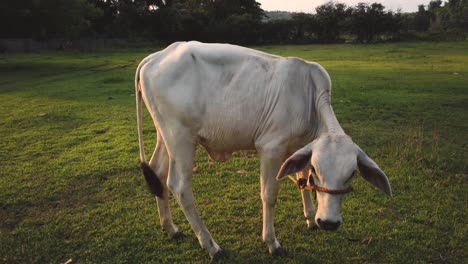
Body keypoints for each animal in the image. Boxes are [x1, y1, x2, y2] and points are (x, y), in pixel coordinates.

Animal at [135, 41, 392, 258]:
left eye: (352, 174)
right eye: (318, 171)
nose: (328, 223)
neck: (309, 96)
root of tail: (156, 56)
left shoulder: (301, 147)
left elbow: (301, 180)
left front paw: (310, 218)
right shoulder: (271, 147)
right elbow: (269, 194)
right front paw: (272, 242)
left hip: (165, 136)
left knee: (157, 173)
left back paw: (171, 228)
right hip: (181, 138)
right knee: (179, 187)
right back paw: (212, 246)